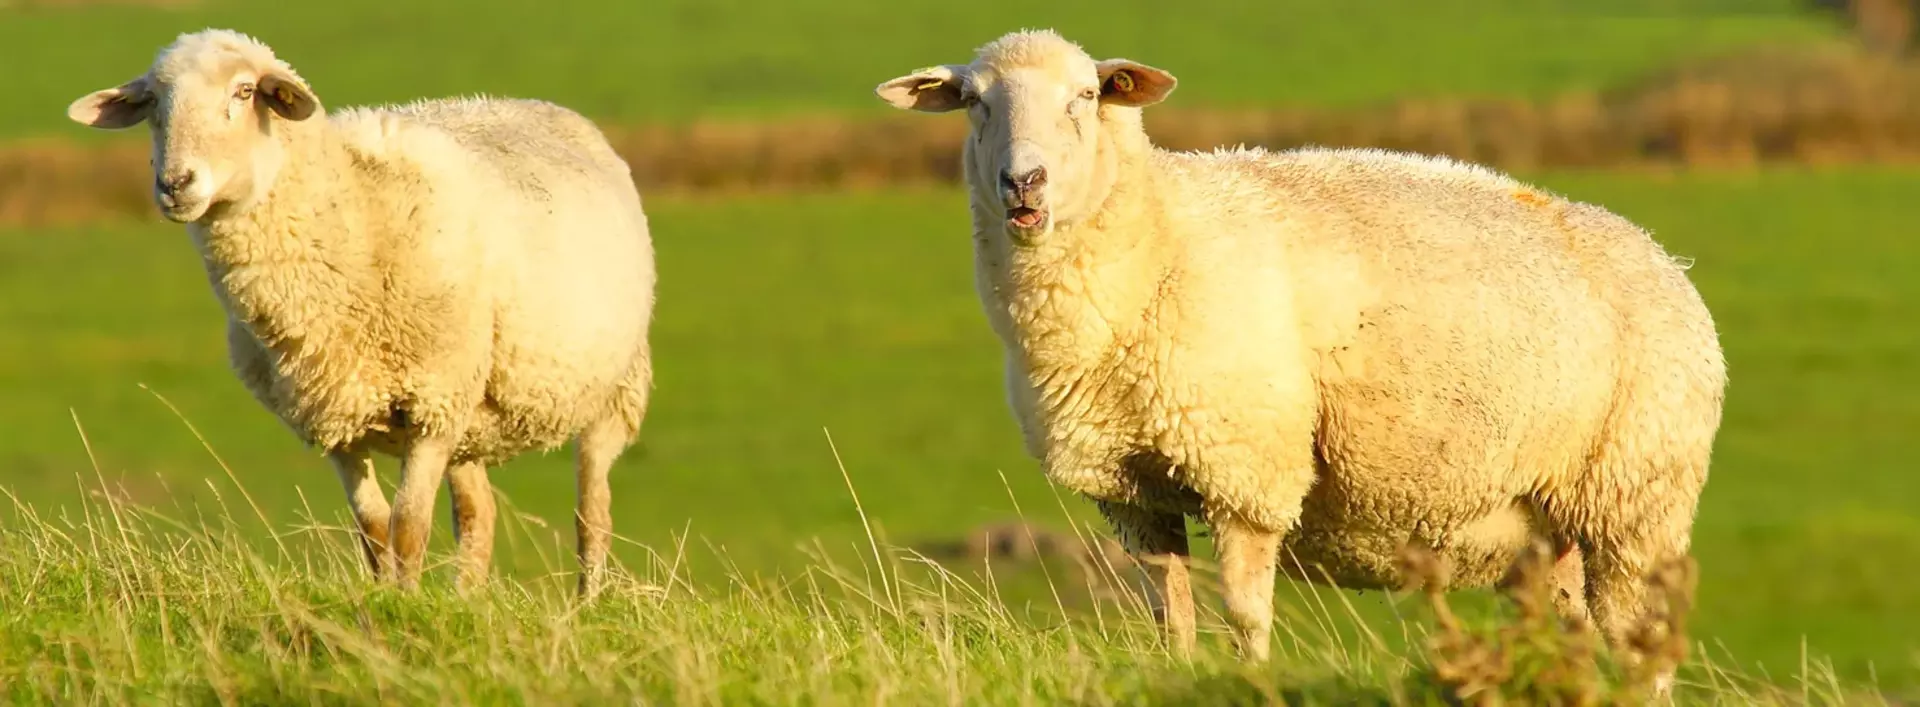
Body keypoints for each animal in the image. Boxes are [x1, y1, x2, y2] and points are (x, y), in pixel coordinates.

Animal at [67, 30, 656, 599]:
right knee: (478, 514)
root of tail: (539, 105)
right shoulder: (336, 415)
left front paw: (407, 606)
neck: (351, 211)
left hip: (610, 390)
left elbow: (409, 525)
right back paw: (468, 601)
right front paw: (385, 597)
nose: (175, 184)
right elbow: (373, 529)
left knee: (592, 515)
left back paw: (585, 606)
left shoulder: (431, 406)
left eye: (244, 92)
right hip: (470, 412)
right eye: (153, 103)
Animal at [879, 29, 1735, 691]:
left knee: (1640, 644)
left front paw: (1251, 678)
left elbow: (1245, 610)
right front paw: (1179, 672)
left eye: (1086, 97)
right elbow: (1168, 610)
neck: (1156, 240)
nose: (1022, 182)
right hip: (1549, 521)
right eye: (975, 101)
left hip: (1638, 499)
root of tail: (1667, 261)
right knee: (1576, 631)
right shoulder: (1131, 487)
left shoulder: (1246, 465)